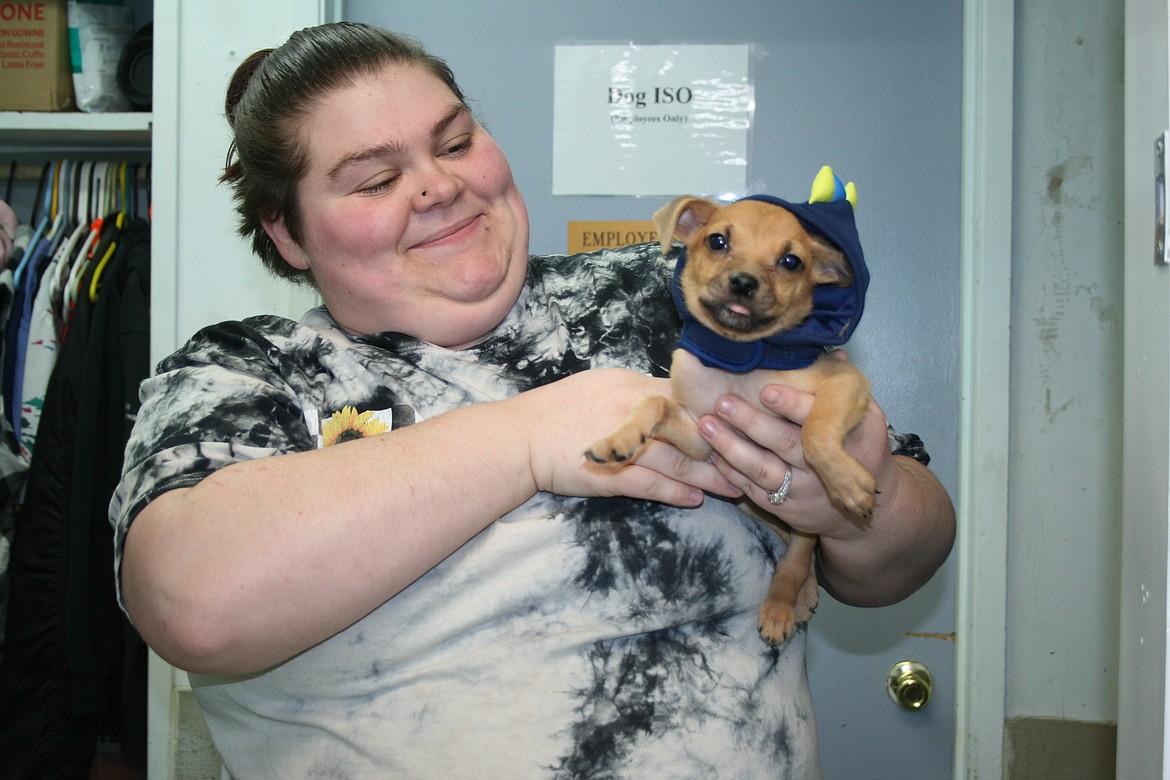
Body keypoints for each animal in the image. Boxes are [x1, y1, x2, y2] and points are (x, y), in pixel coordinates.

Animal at [585, 196, 879, 645]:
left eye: (791, 261)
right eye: (717, 241)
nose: (743, 283)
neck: (737, 364)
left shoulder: (846, 382)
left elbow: (816, 430)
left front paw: (845, 481)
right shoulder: (703, 434)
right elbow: (655, 403)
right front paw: (619, 441)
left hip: (800, 520)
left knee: (797, 557)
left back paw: (782, 605)